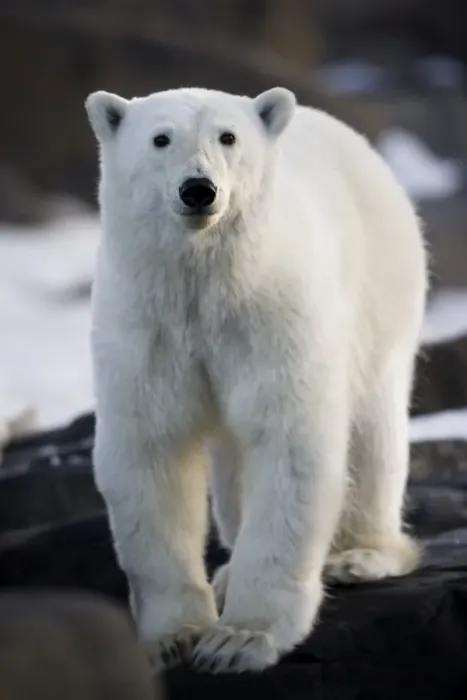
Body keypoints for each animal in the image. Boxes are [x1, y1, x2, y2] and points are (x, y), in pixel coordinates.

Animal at [85, 85, 428, 674]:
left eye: (228, 136)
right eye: (160, 138)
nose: (198, 190)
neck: (206, 285)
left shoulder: (275, 315)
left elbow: (288, 443)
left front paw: (240, 639)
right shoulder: (144, 326)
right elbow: (151, 451)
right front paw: (174, 637)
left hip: (381, 289)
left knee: (371, 429)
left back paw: (360, 555)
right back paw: (226, 572)